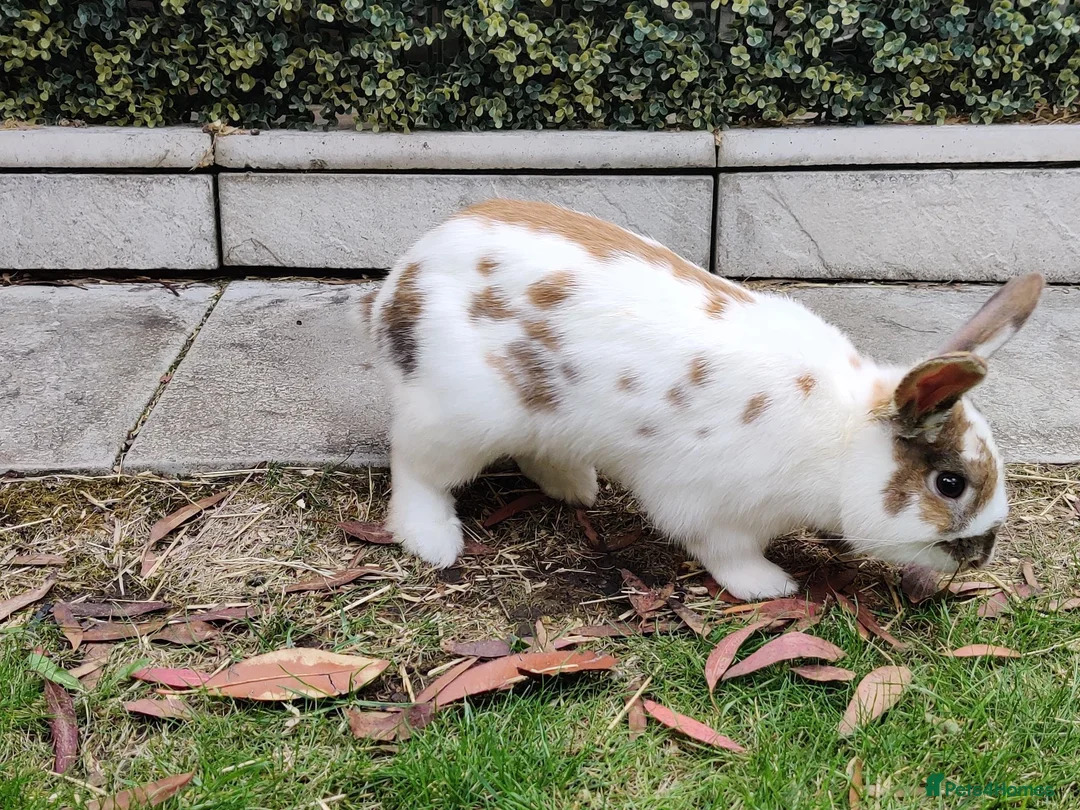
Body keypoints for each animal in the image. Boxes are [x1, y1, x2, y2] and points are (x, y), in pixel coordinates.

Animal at [361, 198, 1044, 600]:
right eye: (949, 484)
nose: (982, 555)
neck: (841, 438)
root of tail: (400, 280)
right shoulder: (708, 507)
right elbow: (728, 553)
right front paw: (772, 587)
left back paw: (576, 488)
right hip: (458, 419)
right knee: (415, 469)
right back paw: (434, 541)